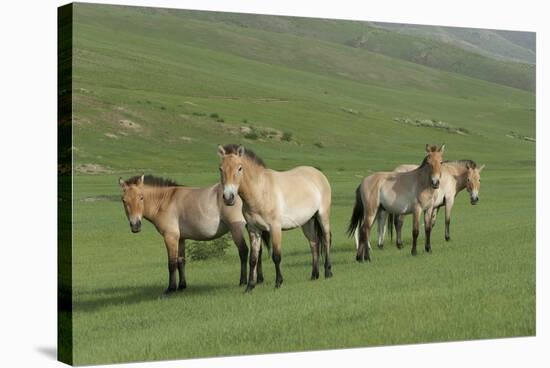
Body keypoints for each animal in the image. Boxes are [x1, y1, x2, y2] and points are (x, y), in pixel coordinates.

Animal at [118, 174, 266, 294]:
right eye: (124, 200)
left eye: (141, 197)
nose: (135, 225)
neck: (165, 201)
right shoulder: (180, 239)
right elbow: (181, 261)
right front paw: (182, 286)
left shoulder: (170, 237)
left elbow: (171, 263)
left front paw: (171, 289)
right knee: (258, 251)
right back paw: (259, 279)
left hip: (236, 229)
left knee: (244, 251)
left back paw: (243, 281)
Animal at [218, 144, 334, 290]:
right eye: (220, 168)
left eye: (239, 168)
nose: (228, 198)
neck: (261, 192)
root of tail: (318, 174)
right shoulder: (254, 230)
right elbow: (253, 259)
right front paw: (250, 287)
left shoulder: (275, 228)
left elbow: (276, 256)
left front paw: (278, 283)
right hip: (307, 222)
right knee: (314, 244)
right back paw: (314, 275)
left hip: (322, 216)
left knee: (326, 240)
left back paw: (328, 272)